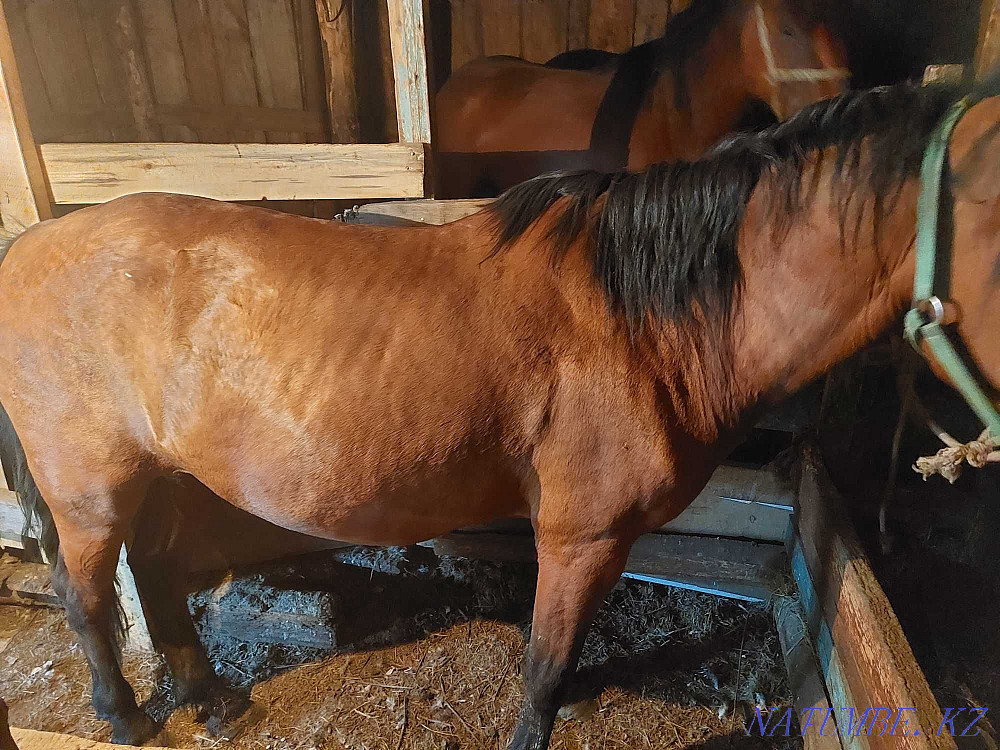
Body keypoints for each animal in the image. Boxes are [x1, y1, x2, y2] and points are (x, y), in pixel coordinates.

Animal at [2, 74, 1000, 749]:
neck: (644, 322)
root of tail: (31, 243)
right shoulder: (582, 536)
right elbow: (545, 670)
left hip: (163, 474)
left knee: (157, 575)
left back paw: (209, 700)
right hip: (91, 491)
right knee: (87, 596)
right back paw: (124, 717)